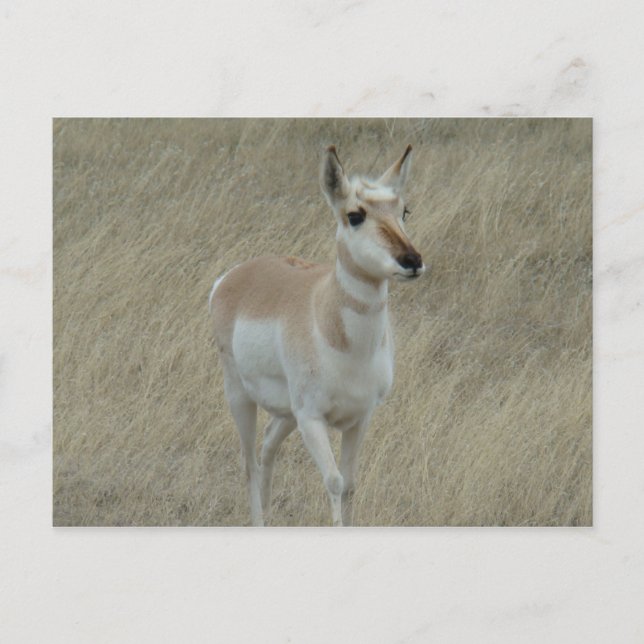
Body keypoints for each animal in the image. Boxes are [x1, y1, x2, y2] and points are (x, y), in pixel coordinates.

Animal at [209, 144, 425, 526]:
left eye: (404, 210)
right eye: (354, 215)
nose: (411, 260)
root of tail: (233, 277)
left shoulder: (360, 418)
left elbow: (351, 483)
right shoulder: (312, 419)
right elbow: (335, 481)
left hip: (286, 414)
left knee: (268, 447)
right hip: (242, 398)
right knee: (249, 463)